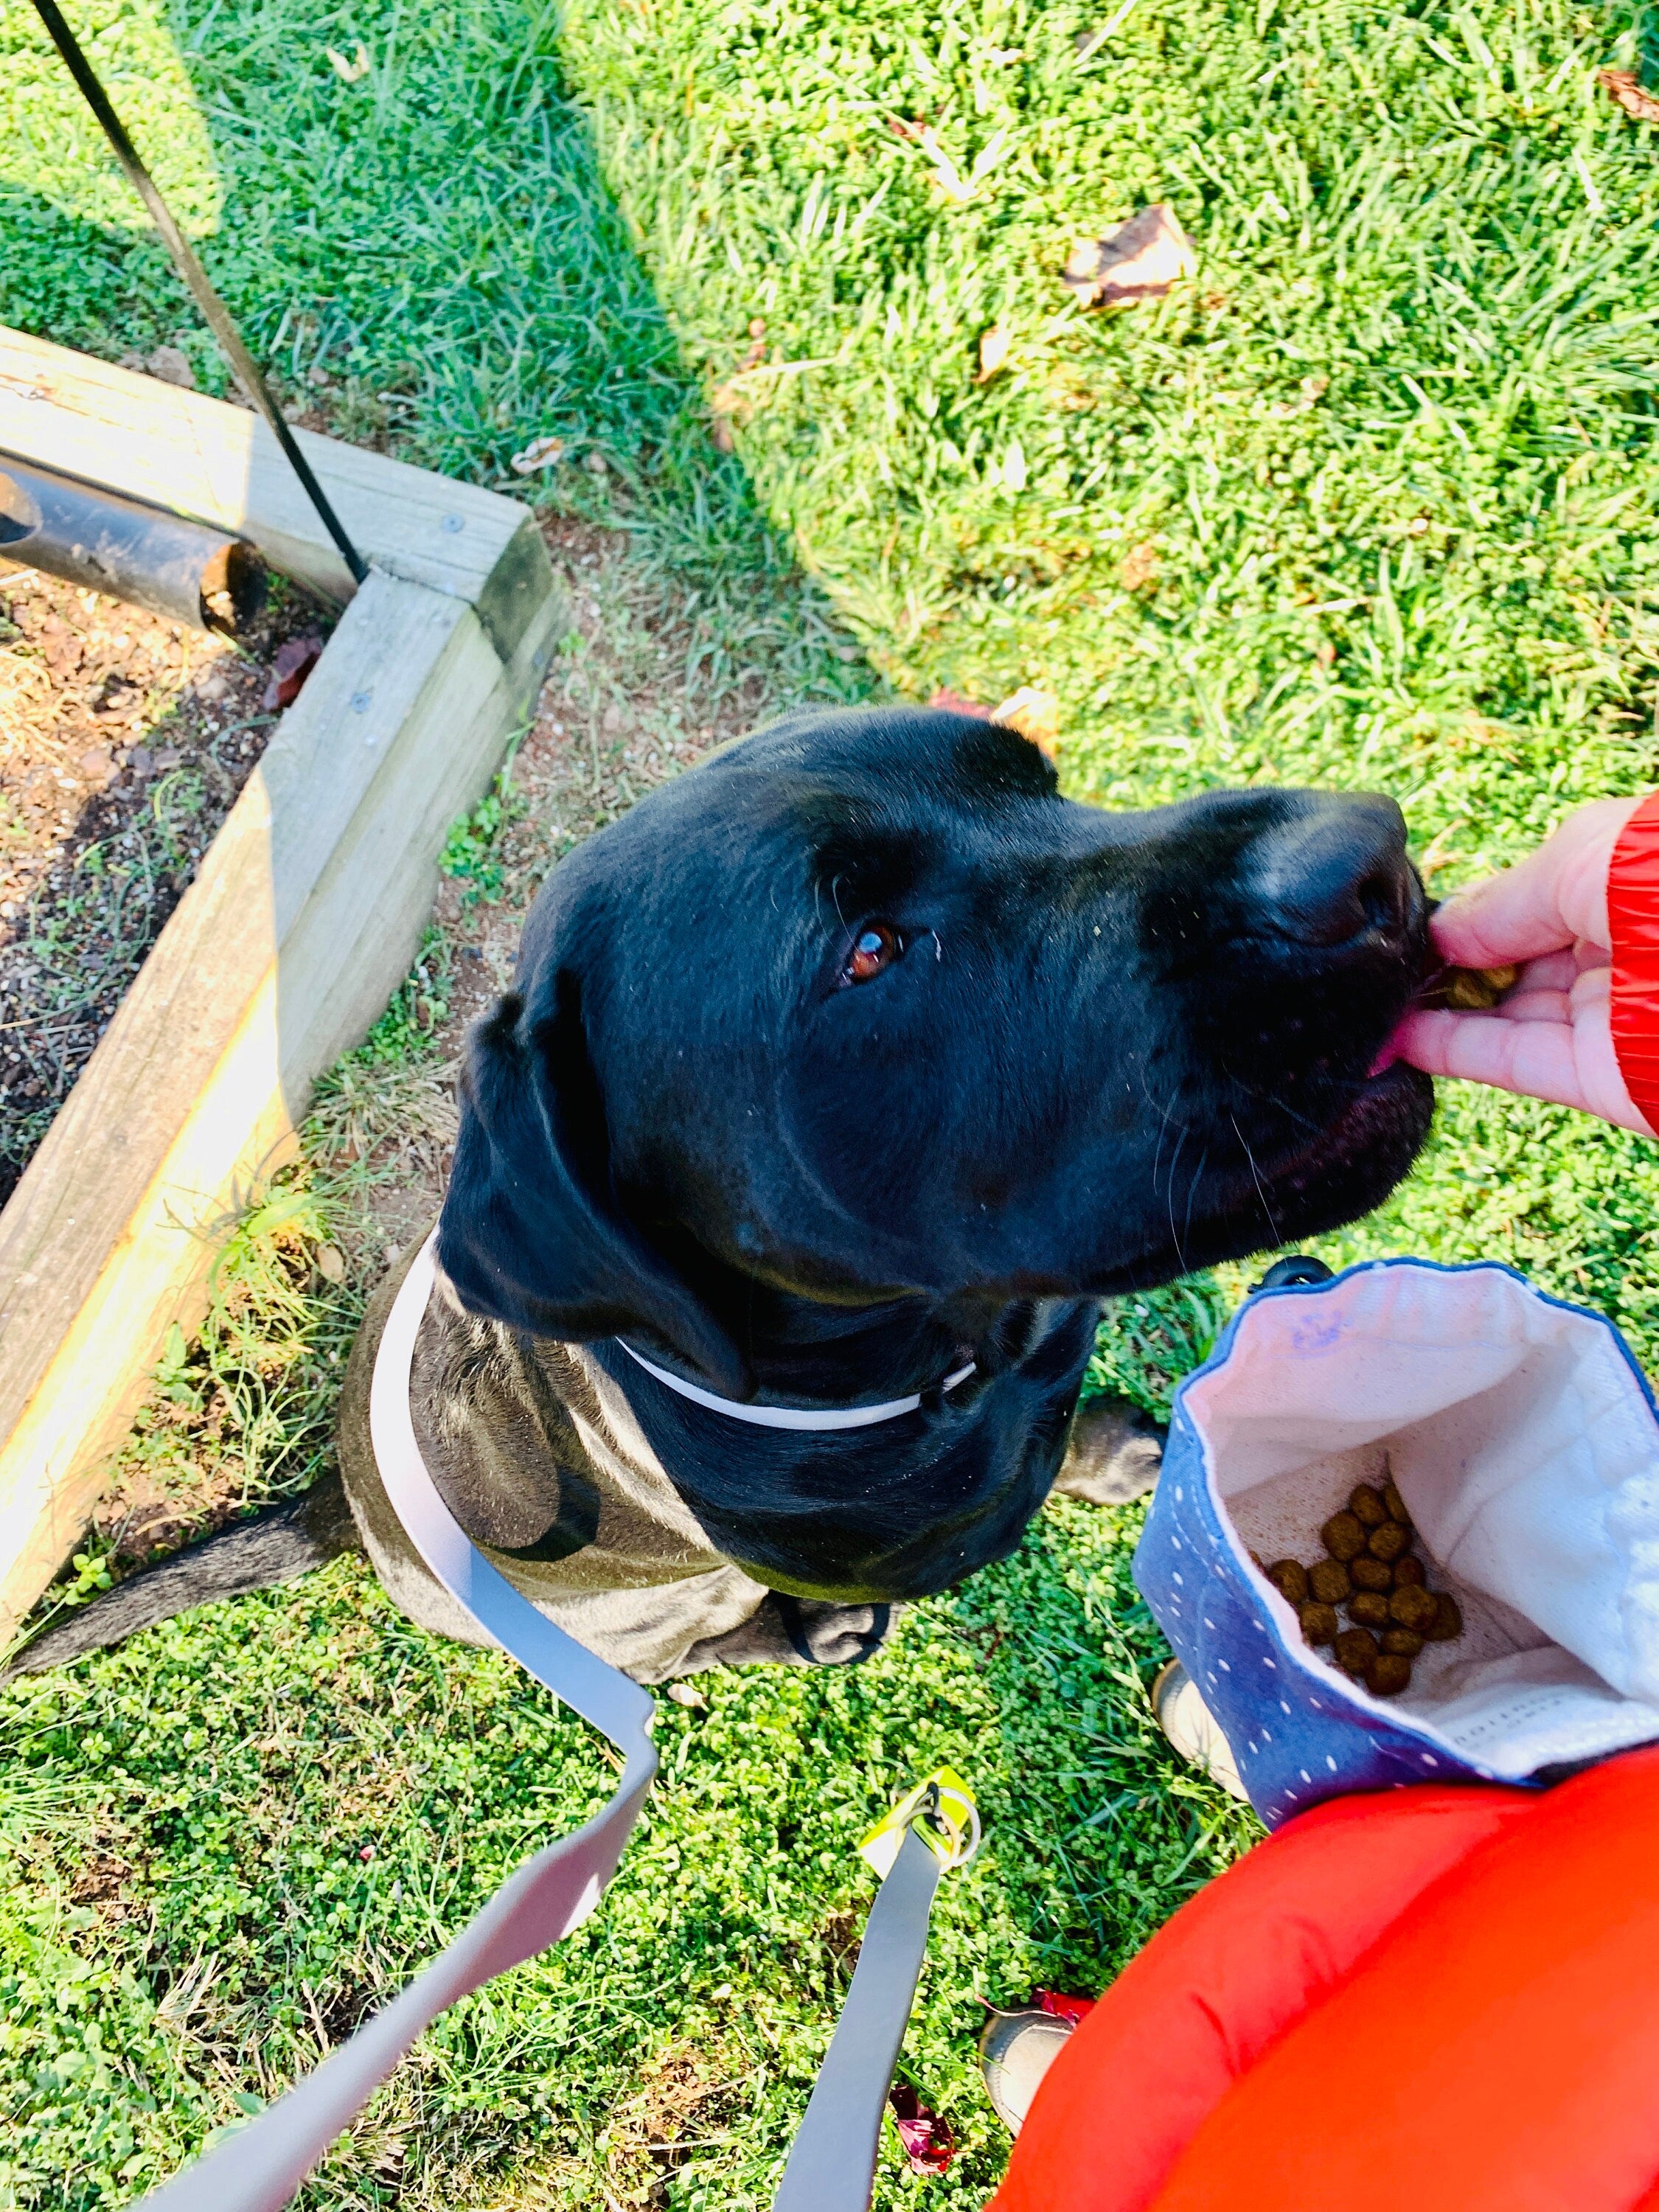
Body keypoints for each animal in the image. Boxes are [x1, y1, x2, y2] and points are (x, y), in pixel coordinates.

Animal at [10, 708, 1442, 1672]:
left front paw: (1114, 1449)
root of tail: (338, 1512)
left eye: (1039, 777)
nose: (1364, 861)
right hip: (646, 1610)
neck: (951, 1356)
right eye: (868, 950)